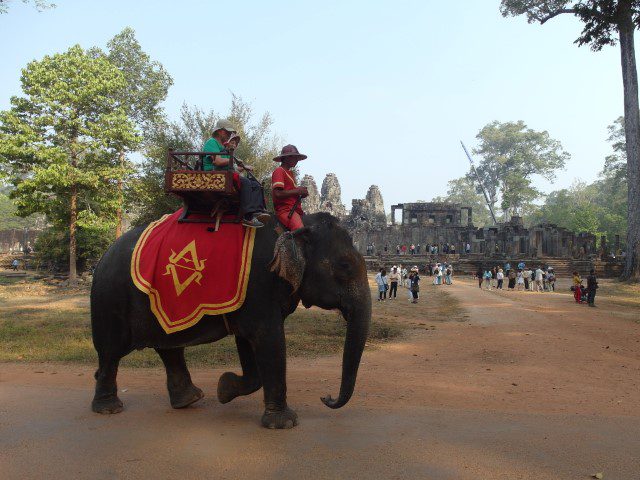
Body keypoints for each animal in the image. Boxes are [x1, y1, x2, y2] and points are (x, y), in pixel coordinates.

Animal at [89, 212, 370, 430]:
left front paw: (224, 390)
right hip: (109, 298)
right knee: (110, 352)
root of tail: (103, 255)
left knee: (169, 349)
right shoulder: (260, 285)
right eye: (344, 266)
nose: (326, 397)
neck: (297, 224)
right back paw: (109, 409)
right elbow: (269, 340)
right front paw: (284, 423)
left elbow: (248, 342)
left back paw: (189, 400)